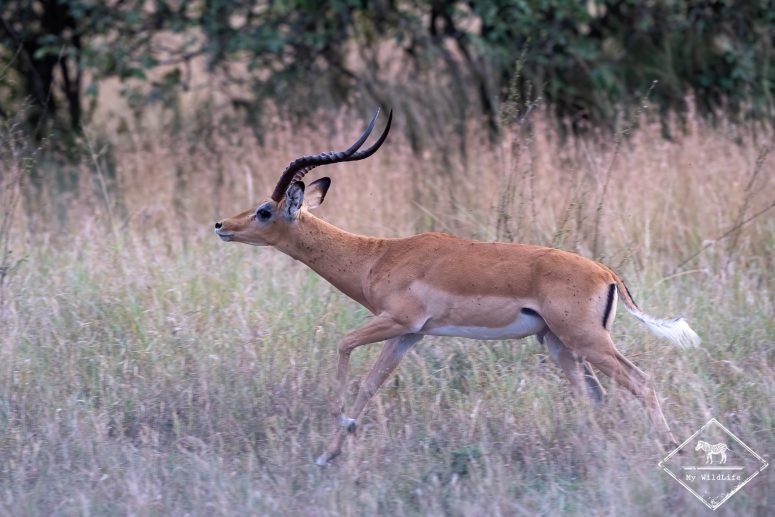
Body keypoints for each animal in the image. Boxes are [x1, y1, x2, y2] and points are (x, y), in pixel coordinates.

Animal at [214, 109, 700, 466]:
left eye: (264, 211)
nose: (221, 225)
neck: (377, 256)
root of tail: (607, 273)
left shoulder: (397, 320)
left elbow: (343, 345)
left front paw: (342, 429)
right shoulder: (410, 335)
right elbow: (370, 385)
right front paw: (328, 455)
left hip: (587, 341)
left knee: (642, 382)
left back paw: (670, 451)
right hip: (558, 343)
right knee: (594, 397)